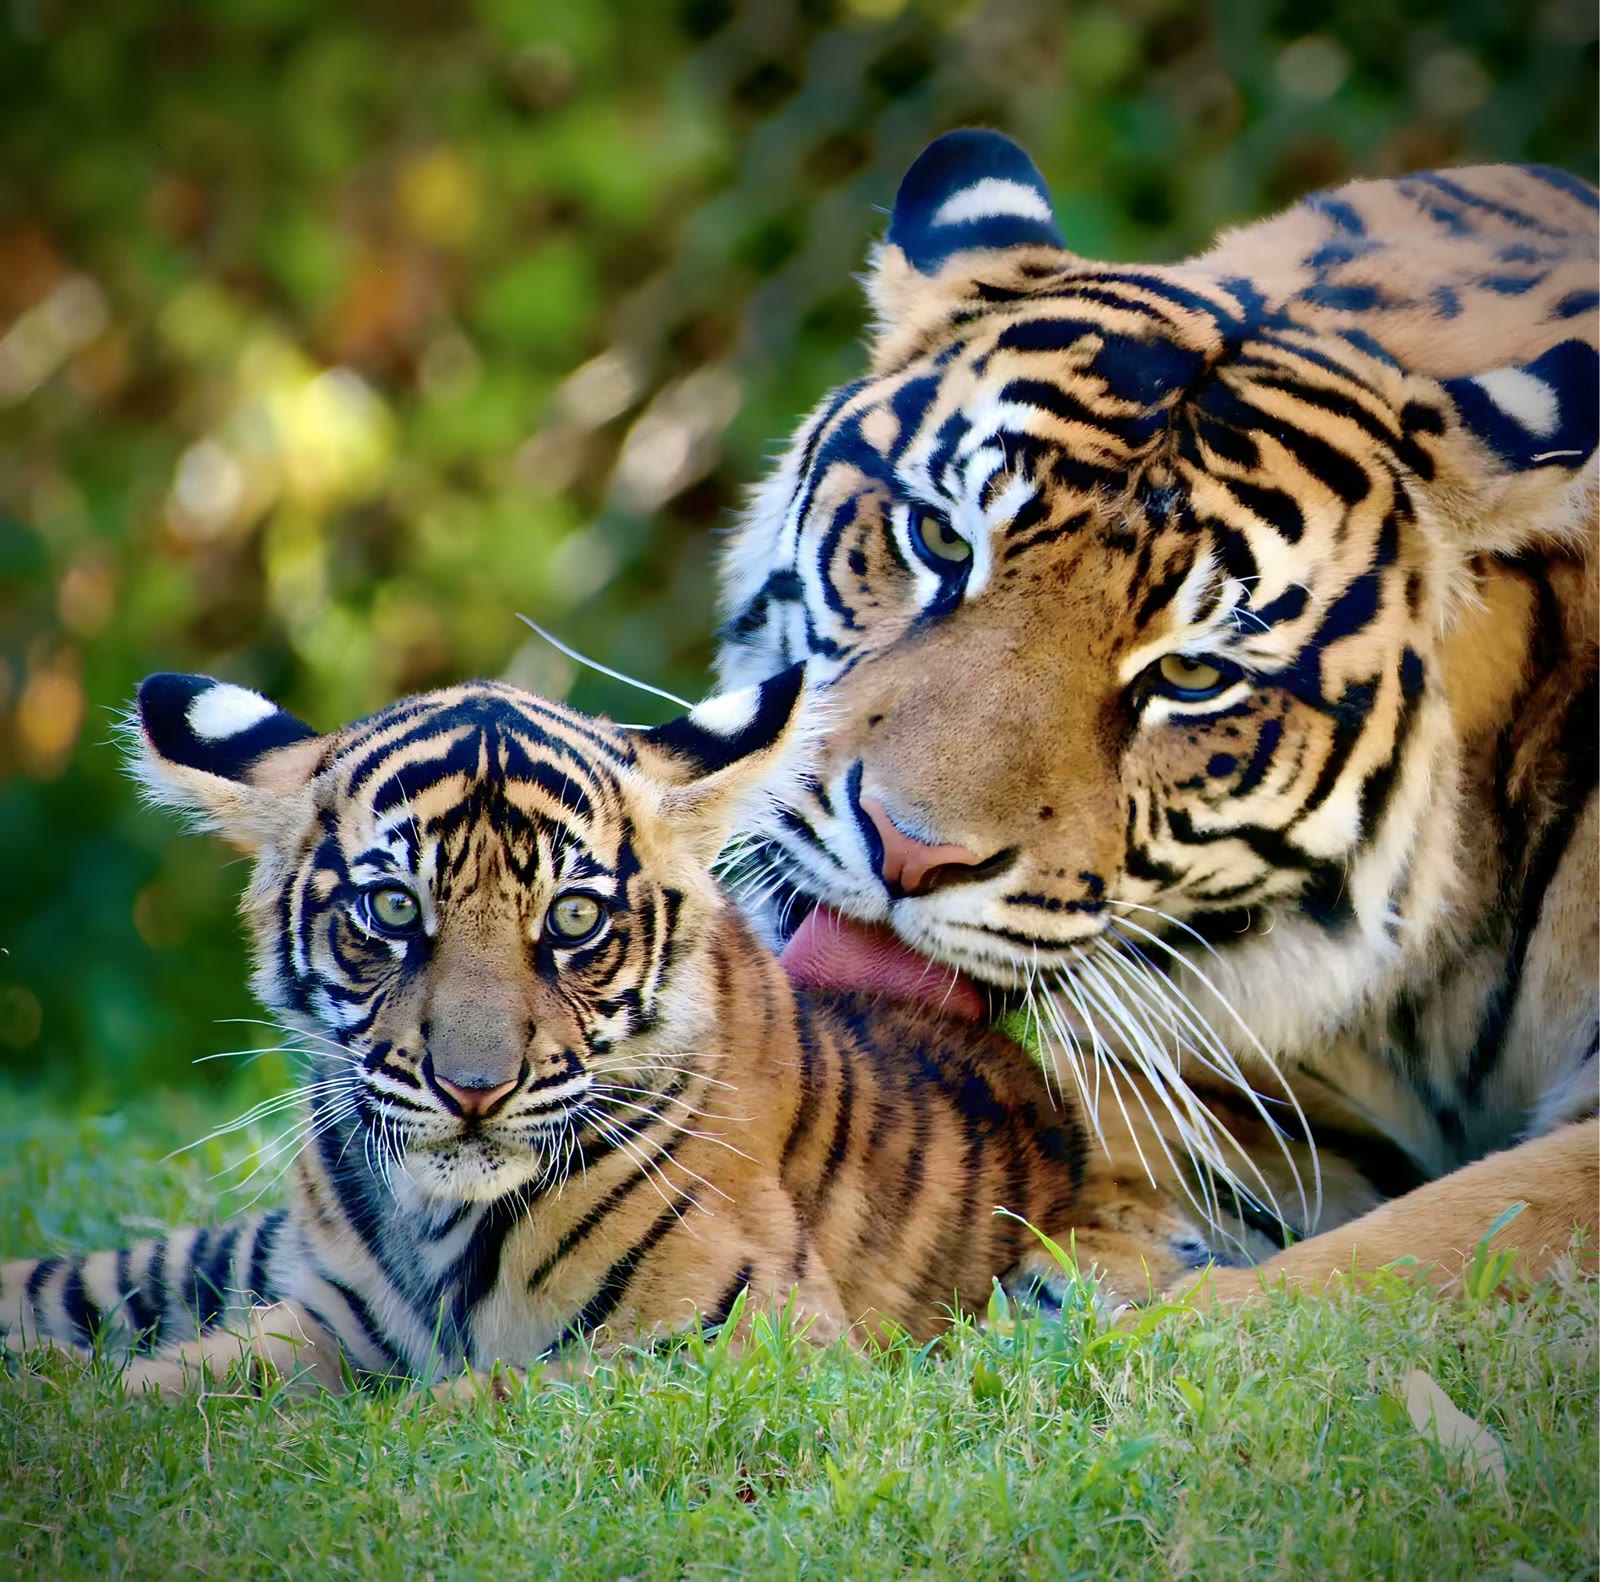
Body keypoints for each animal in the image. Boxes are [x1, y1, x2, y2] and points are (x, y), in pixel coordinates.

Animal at [2, 665, 1277, 1394]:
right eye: (394, 910)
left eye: (573, 919)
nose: (473, 1088)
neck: (434, 1221)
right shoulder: (322, 1320)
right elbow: (159, 1385)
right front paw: (81, 1409)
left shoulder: (743, 1348)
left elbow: (469, 1403)